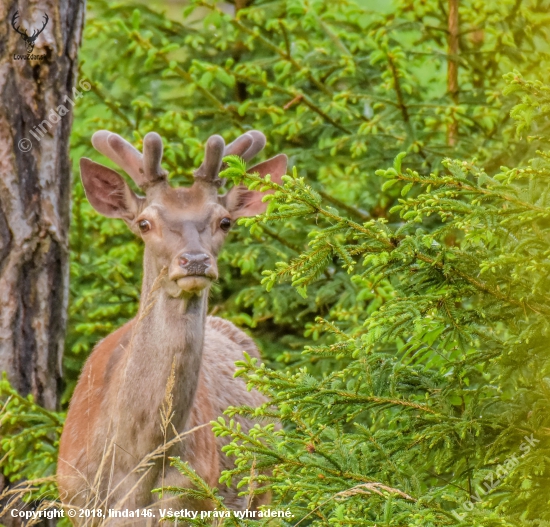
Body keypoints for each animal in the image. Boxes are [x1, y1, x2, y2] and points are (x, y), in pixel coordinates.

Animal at [57, 130, 288, 524]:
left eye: (225, 221)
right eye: (144, 223)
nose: (194, 261)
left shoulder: (191, 498)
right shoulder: (75, 498)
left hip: (260, 494)